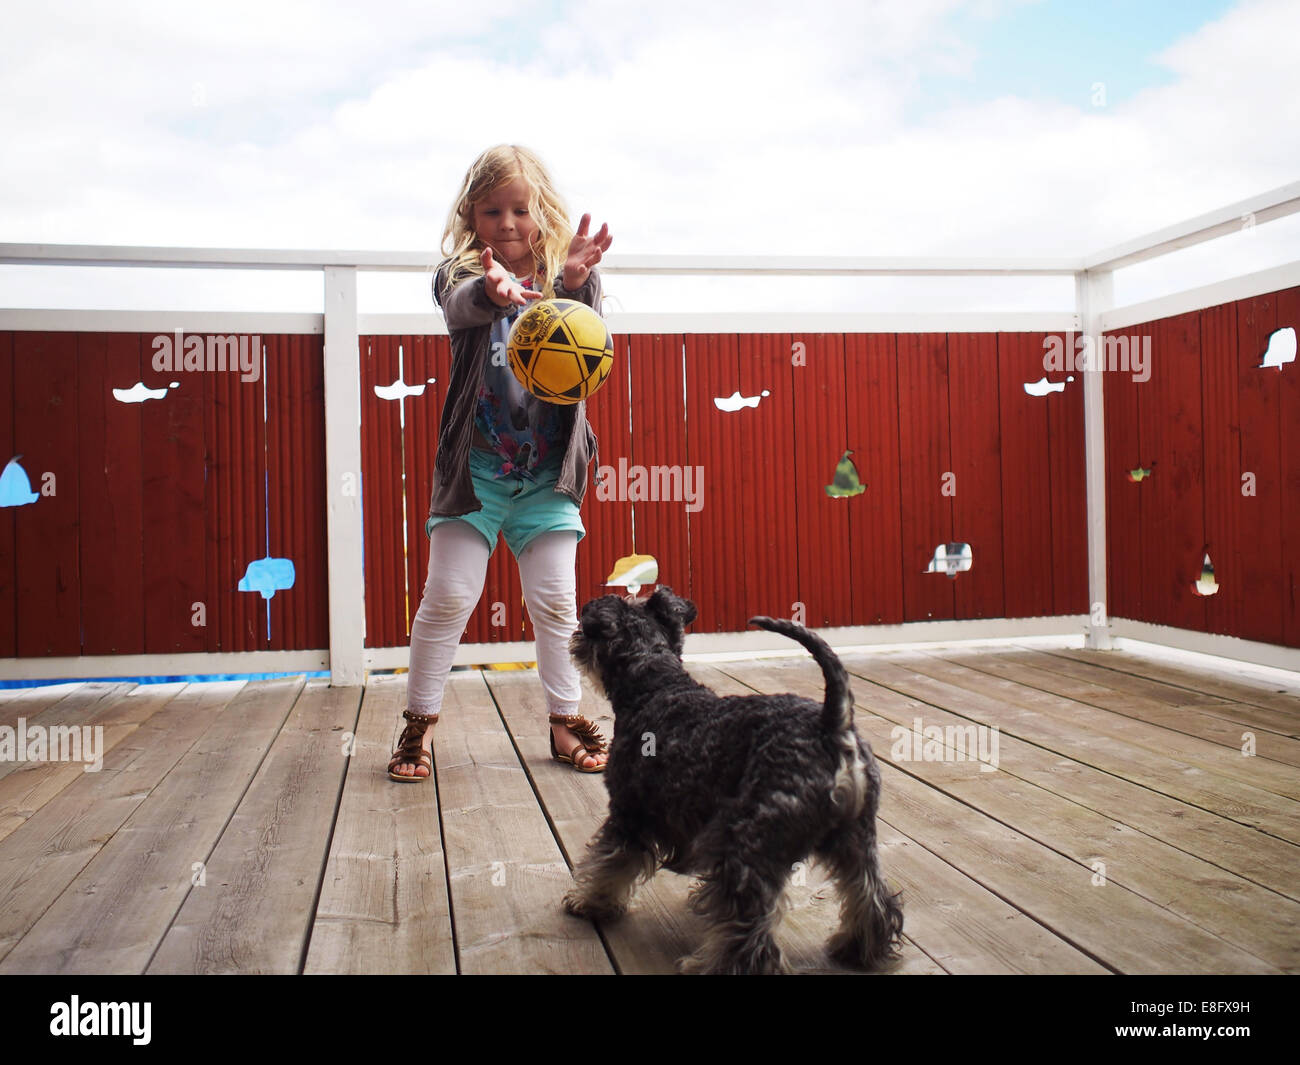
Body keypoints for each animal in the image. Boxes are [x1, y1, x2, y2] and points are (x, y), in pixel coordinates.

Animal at [569, 587, 904, 977]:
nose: (575, 637)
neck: (655, 687)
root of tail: (832, 727)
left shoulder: (629, 812)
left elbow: (610, 862)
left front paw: (592, 903)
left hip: (747, 844)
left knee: (750, 930)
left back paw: (712, 964)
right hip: (856, 839)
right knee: (871, 896)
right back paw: (858, 949)